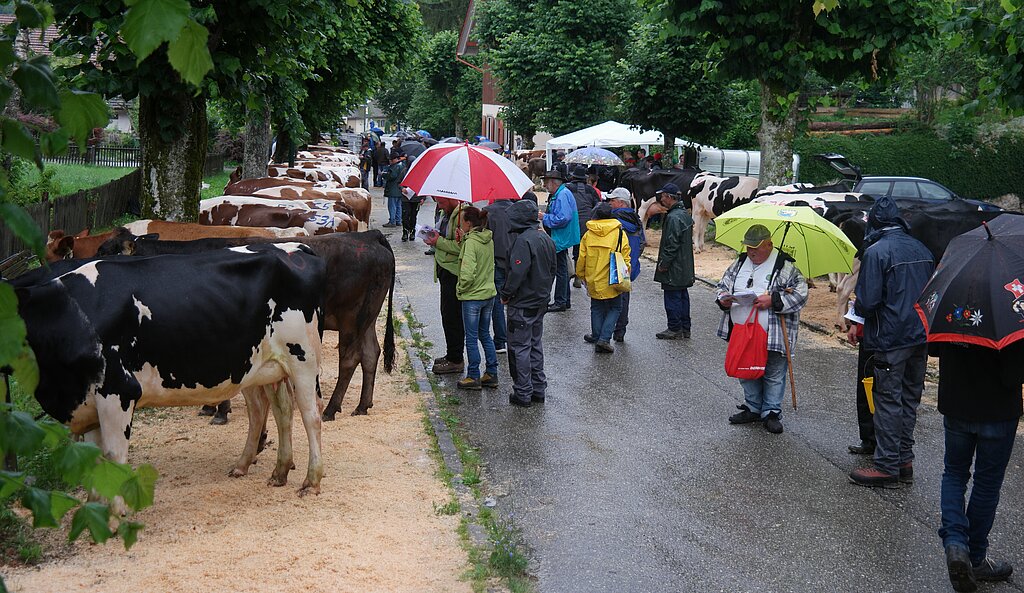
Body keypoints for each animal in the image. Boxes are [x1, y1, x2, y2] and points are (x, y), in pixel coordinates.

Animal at [14, 243, 329, 503]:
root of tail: (294, 248)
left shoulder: (119, 391)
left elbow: (114, 456)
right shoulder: (88, 401)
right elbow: (96, 462)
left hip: (303, 358)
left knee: (310, 414)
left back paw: (311, 481)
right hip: (266, 366)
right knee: (278, 411)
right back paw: (275, 471)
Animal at [93, 229, 395, 419]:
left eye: (108, 251)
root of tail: (368, 235)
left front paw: (219, 410)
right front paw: (210, 406)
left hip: (351, 318)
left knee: (350, 358)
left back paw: (333, 408)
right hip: (367, 317)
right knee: (371, 353)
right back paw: (363, 405)